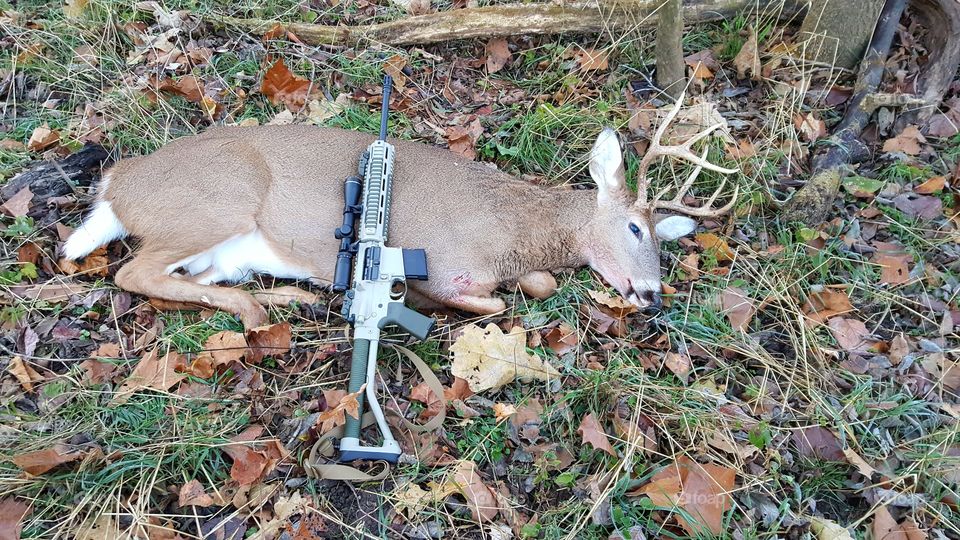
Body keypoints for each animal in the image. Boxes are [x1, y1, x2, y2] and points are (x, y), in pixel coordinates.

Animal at [62, 95, 738, 330]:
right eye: (633, 226)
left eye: (662, 240)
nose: (652, 294)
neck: (514, 228)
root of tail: (118, 182)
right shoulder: (448, 261)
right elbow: (490, 302)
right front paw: (421, 302)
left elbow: (538, 285)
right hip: (216, 203)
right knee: (132, 274)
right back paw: (261, 310)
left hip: (223, 250)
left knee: (191, 278)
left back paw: (293, 297)